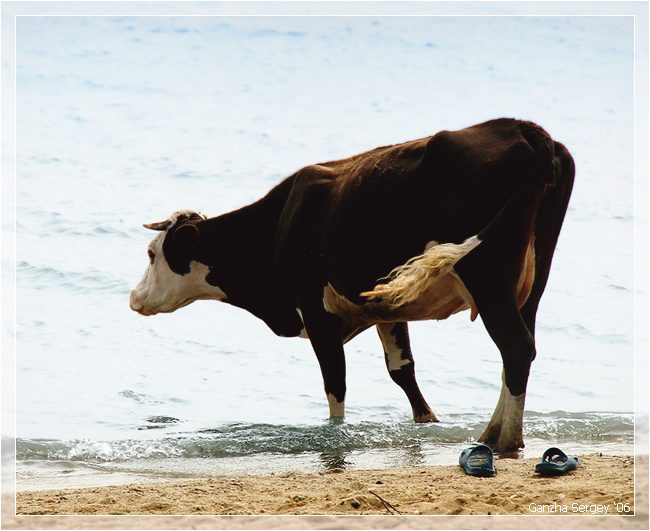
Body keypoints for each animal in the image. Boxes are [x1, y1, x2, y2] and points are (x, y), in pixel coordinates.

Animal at [130, 118, 574, 453]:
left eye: (152, 254)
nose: (134, 298)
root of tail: (525, 129)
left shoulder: (316, 311)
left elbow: (335, 385)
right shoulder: (384, 307)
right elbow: (403, 371)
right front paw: (427, 423)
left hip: (489, 276)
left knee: (515, 346)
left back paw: (503, 439)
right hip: (533, 279)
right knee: (520, 348)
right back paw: (494, 433)